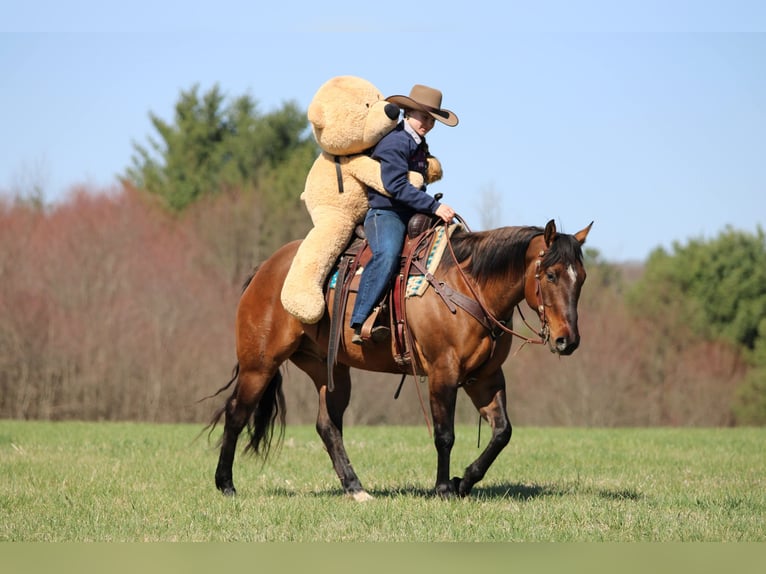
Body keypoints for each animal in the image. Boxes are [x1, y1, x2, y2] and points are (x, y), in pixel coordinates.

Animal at [209, 218, 592, 500]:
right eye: (551, 274)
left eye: (582, 278)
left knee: (327, 426)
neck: (469, 285)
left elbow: (502, 433)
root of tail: (264, 269)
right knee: (236, 414)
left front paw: (463, 481)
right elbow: (445, 434)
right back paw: (226, 484)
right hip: (259, 365)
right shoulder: (443, 372)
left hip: (329, 371)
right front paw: (443, 488)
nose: (568, 341)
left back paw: (355, 488)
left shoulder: (486, 378)